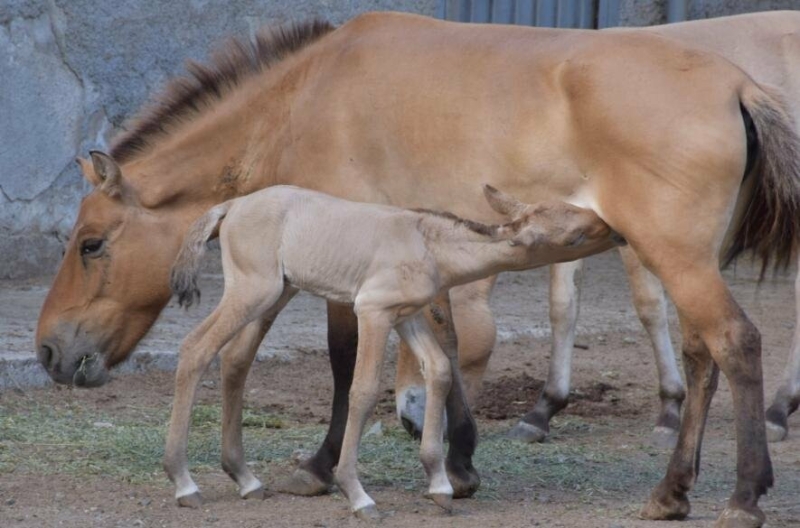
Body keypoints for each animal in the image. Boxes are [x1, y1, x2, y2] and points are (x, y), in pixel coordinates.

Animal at [164, 185, 620, 516]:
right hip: (253, 290)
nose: (617, 229)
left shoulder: (408, 315)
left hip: (276, 293)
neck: (427, 244)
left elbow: (438, 369)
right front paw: (357, 494)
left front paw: (440, 484)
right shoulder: (372, 311)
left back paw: (246, 479)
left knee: (234, 361)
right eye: (575, 235)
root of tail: (230, 206)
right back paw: (185, 483)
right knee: (195, 348)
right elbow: (364, 390)